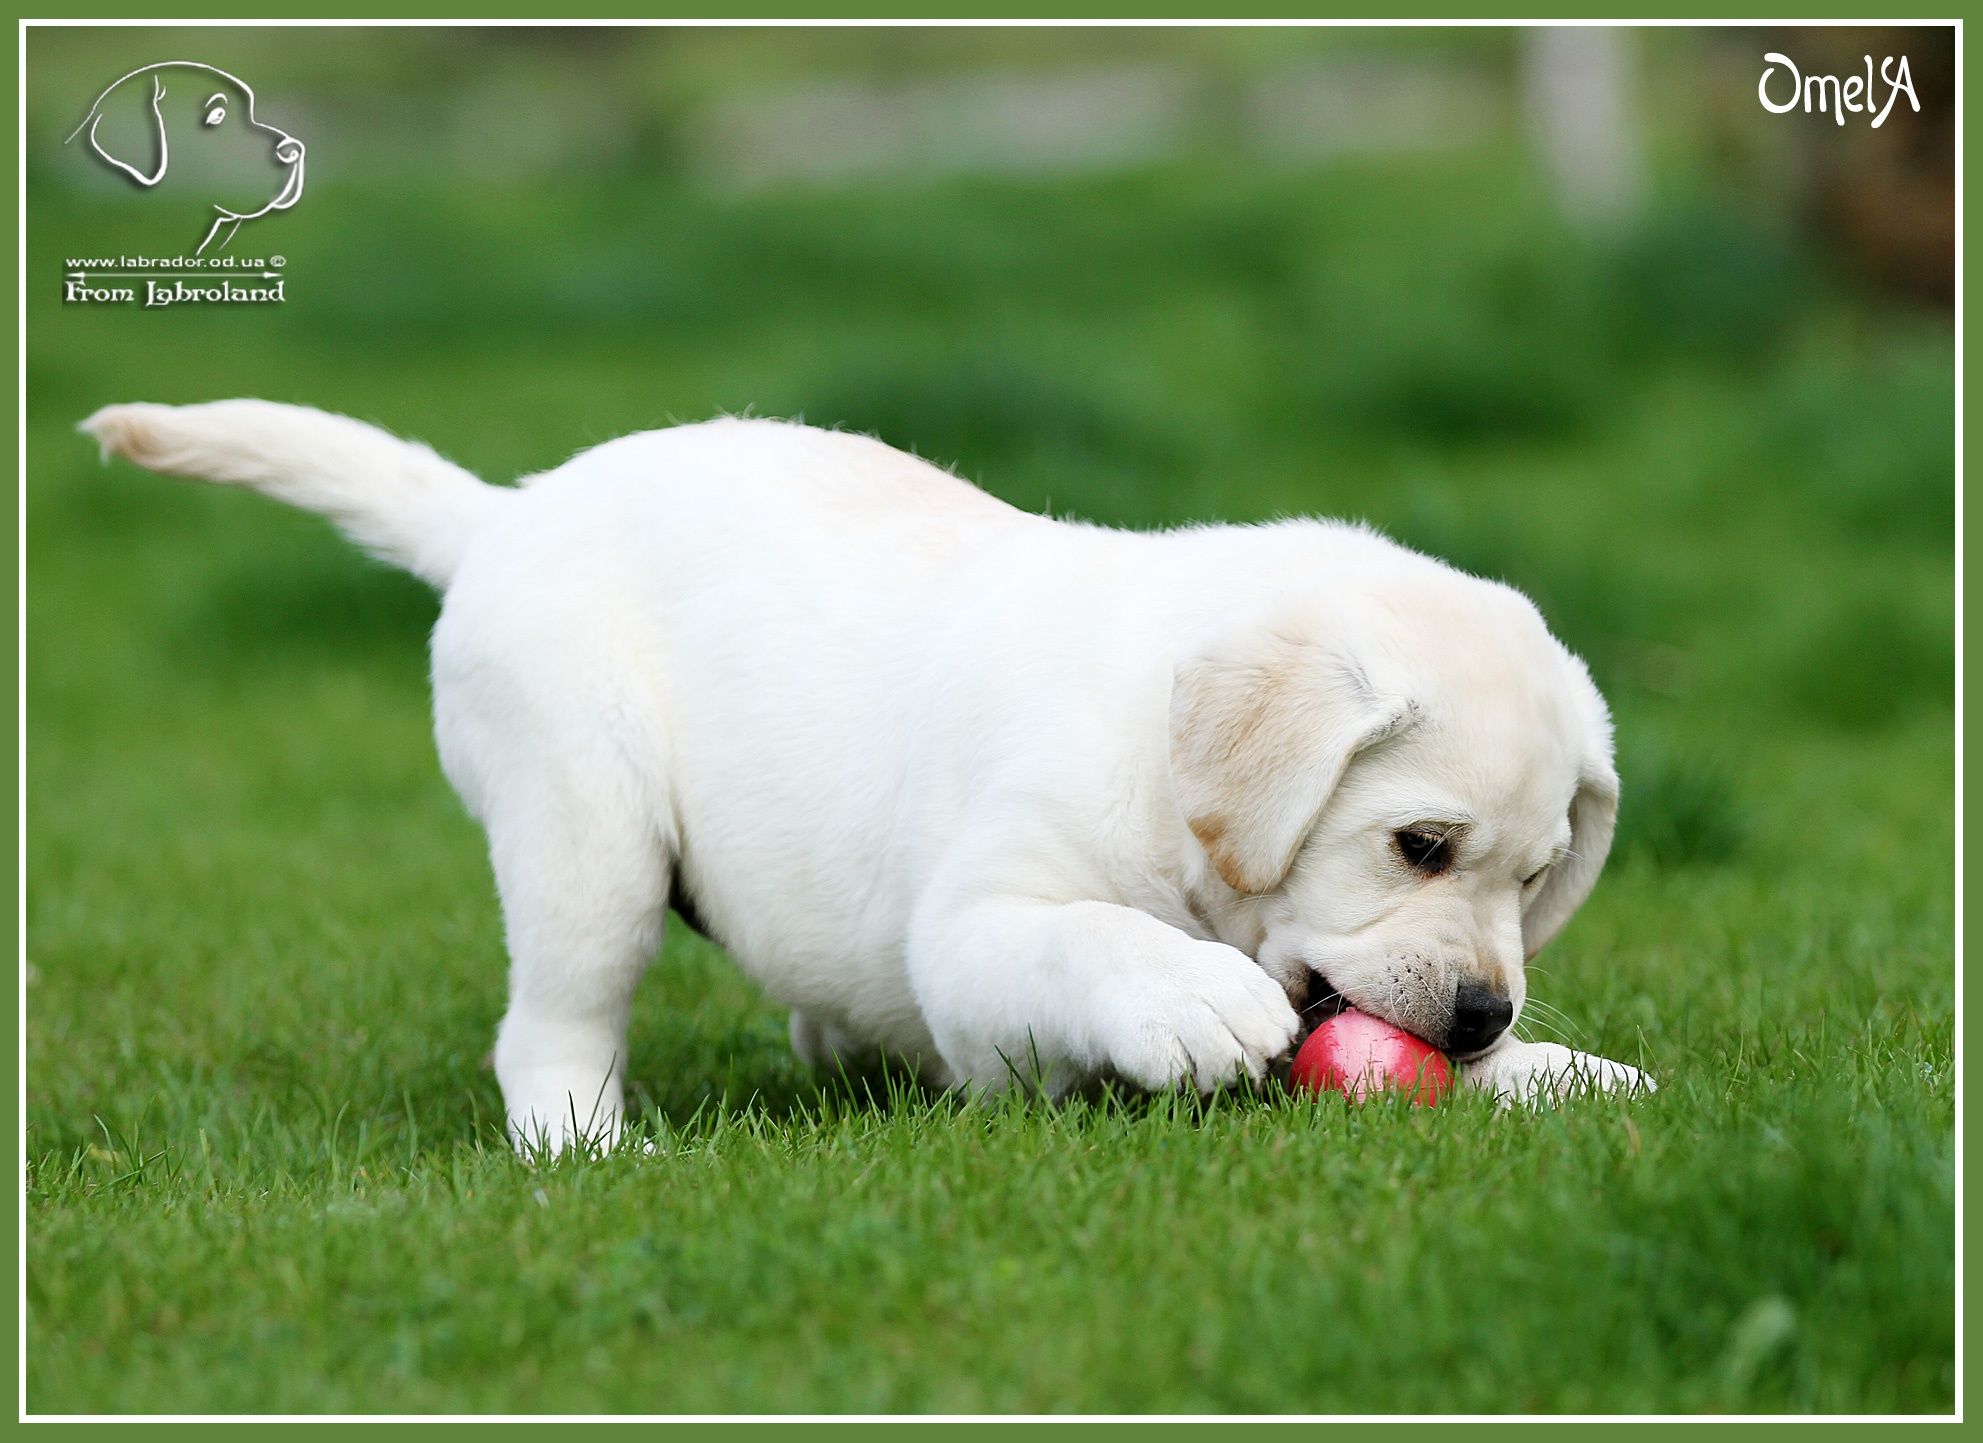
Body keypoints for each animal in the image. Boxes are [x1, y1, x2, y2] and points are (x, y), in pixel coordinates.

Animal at [81, 396, 1657, 1149]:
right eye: (1418, 844)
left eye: (1536, 879)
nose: (1480, 1012)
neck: (1166, 771)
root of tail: (504, 512)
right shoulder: (975, 928)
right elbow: (1090, 938)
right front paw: (1189, 999)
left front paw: (1557, 1073)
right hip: (586, 828)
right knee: (549, 1032)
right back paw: (591, 1149)